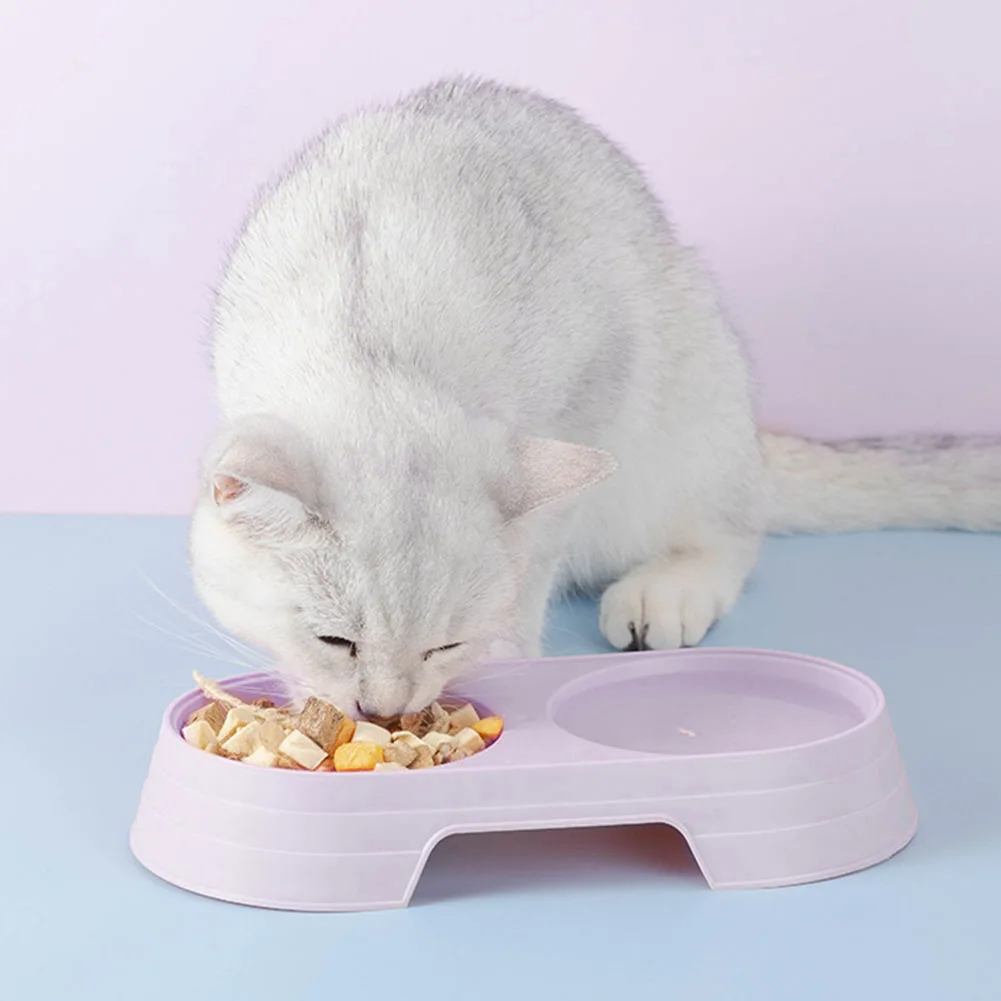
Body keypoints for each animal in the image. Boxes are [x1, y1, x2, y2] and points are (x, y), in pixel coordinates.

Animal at [189, 78, 1001, 717]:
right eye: (334, 639)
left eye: (446, 643)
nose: (383, 710)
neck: (373, 341)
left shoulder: (594, 390)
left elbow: (534, 562)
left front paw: (505, 658)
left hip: (693, 391)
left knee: (731, 535)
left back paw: (665, 592)